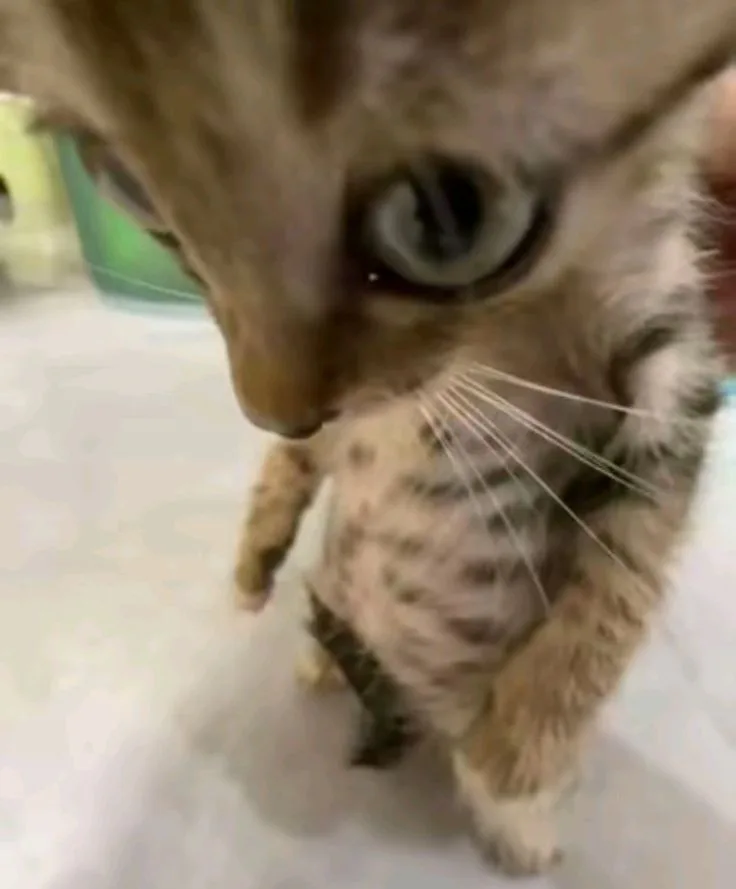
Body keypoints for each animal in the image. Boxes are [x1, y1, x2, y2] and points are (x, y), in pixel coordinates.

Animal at [2, 0, 735, 875]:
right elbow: (305, 455)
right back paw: (322, 653)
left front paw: (515, 755)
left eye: (445, 218)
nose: (272, 409)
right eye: (127, 186)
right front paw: (255, 554)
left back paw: (516, 820)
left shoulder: (668, 371)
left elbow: (623, 580)